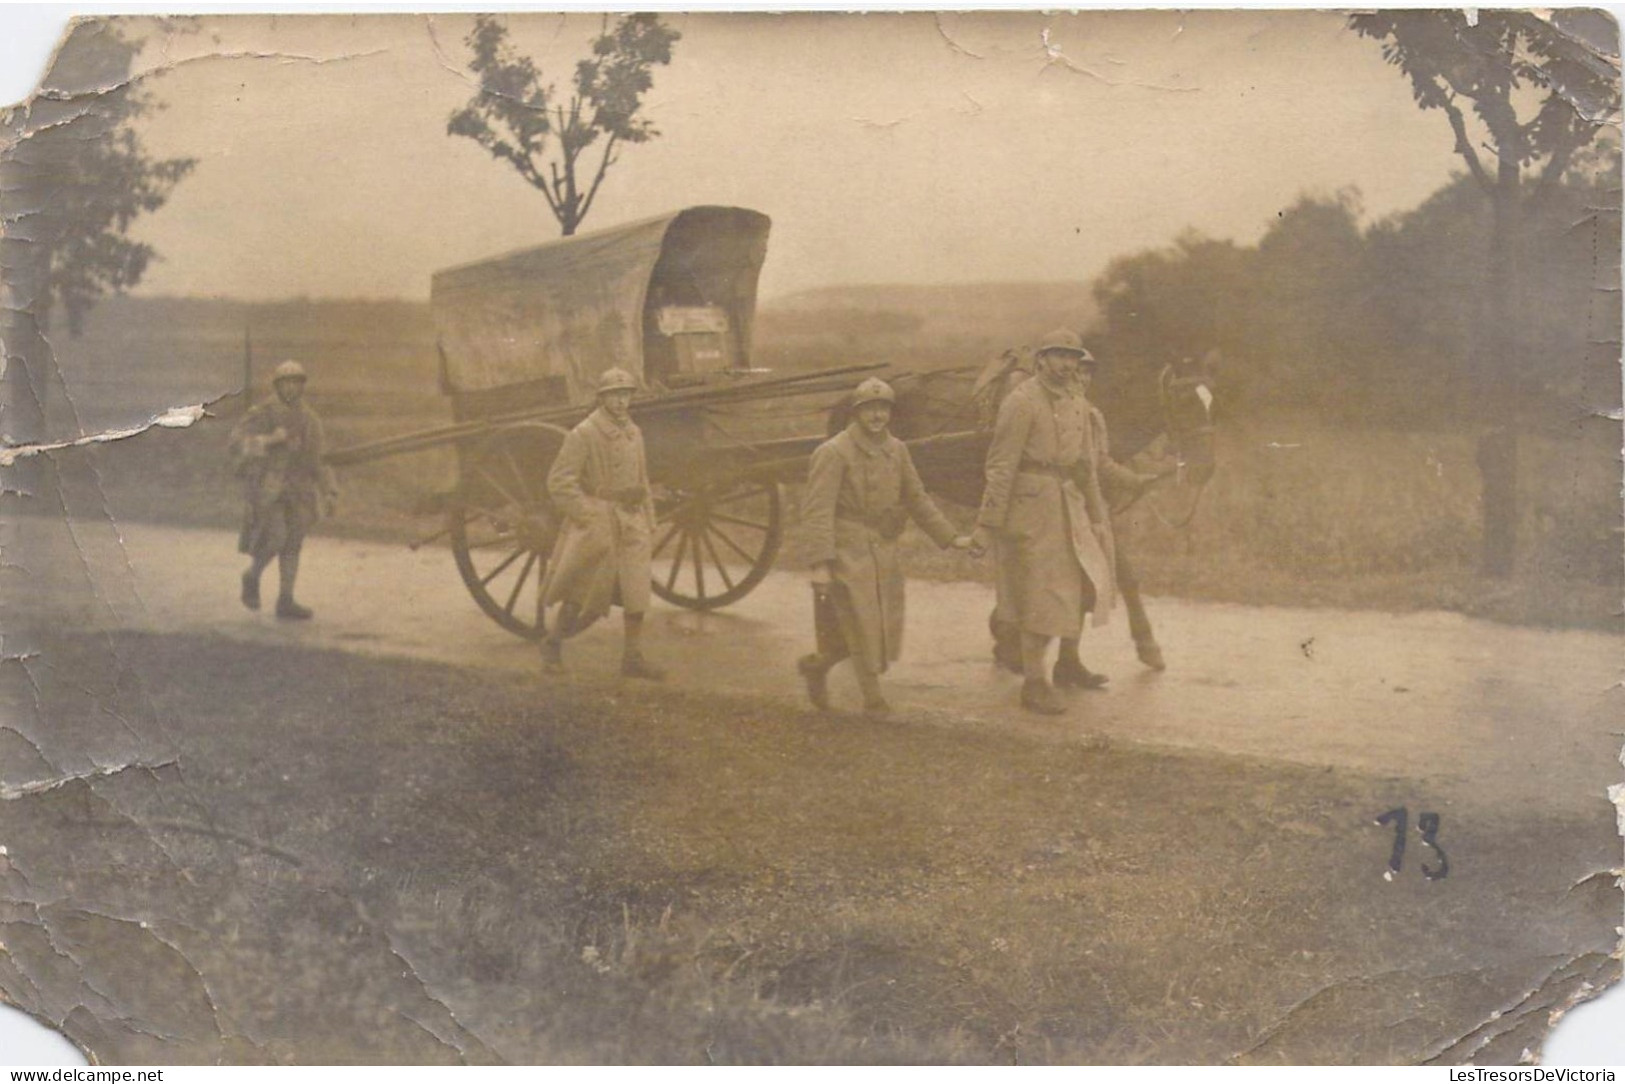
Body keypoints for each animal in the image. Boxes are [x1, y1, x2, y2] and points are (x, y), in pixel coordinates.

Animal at [825, 342, 1222, 672]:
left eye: (1210, 401)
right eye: (1185, 401)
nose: (1206, 468)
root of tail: (852, 398)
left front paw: (1007, 635)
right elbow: (1119, 573)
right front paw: (1147, 644)